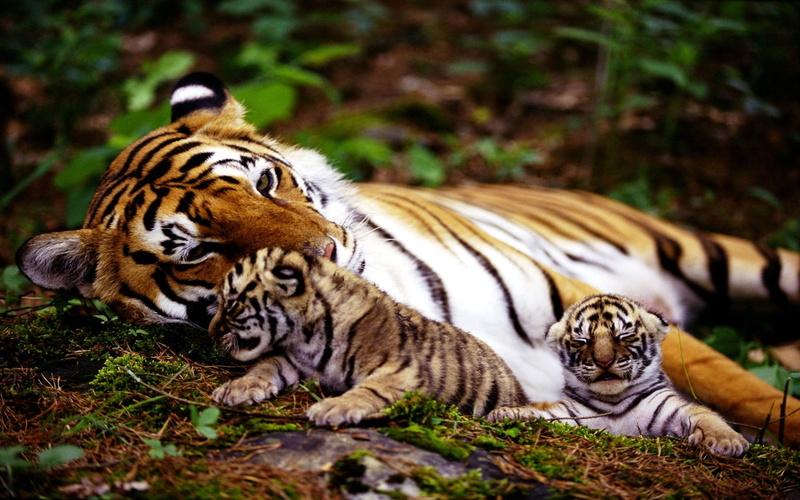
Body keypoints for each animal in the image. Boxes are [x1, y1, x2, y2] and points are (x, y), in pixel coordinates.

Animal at [209, 247, 529, 425]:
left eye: (232, 304)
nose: (211, 332)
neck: (305, 336)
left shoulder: (402, 372)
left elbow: (368, 390)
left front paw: (331, 408)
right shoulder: (292, 360)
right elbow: (264, 366)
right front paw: (237, 388)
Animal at [488, 294, 750, 457]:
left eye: (623, 336)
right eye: (582, 341)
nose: (604, 361)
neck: (613, 403)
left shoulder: (672, 409)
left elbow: (705, 414)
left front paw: (726, 441)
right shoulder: (569, 416)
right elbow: (543, 414)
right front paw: (510, 412)